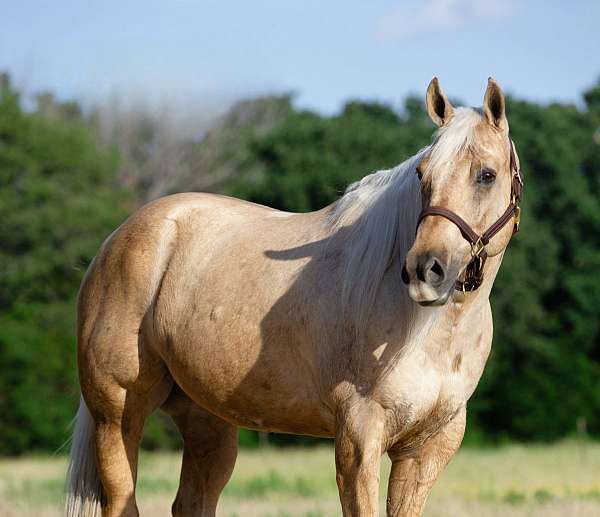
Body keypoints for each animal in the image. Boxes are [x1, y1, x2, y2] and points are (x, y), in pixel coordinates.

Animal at [65, 77, 524, 516]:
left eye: (486, 174)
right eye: (422, 174)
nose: (424, 271)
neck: (428, 332)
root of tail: (116, 241)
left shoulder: (427, 447)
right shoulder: (359, 437)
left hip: (207, 420)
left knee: (192, 502)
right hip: (117, 413)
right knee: (122, 501)